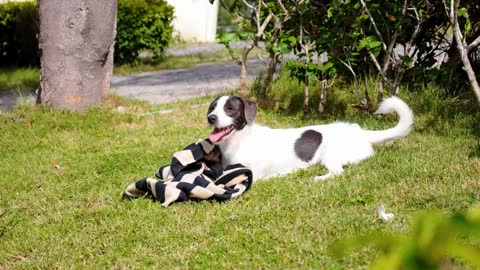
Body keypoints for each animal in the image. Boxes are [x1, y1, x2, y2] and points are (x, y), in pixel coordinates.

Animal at [206, 96, 412, 182]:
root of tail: (360, 131)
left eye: (230, 109)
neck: (241, 141)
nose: (211, 118)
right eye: (212, 107)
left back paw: (318, 178)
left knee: (338, 172)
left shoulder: (252, 173)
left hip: (331, 156)